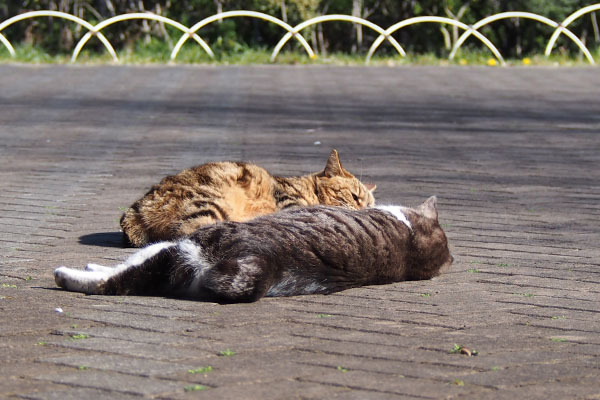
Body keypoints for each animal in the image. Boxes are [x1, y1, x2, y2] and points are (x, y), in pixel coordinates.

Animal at [120, 150, 376, 247]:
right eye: (355, 196)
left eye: (369, 204)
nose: (365, 209)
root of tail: (136, 209)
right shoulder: (289, 203)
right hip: (212, 203)